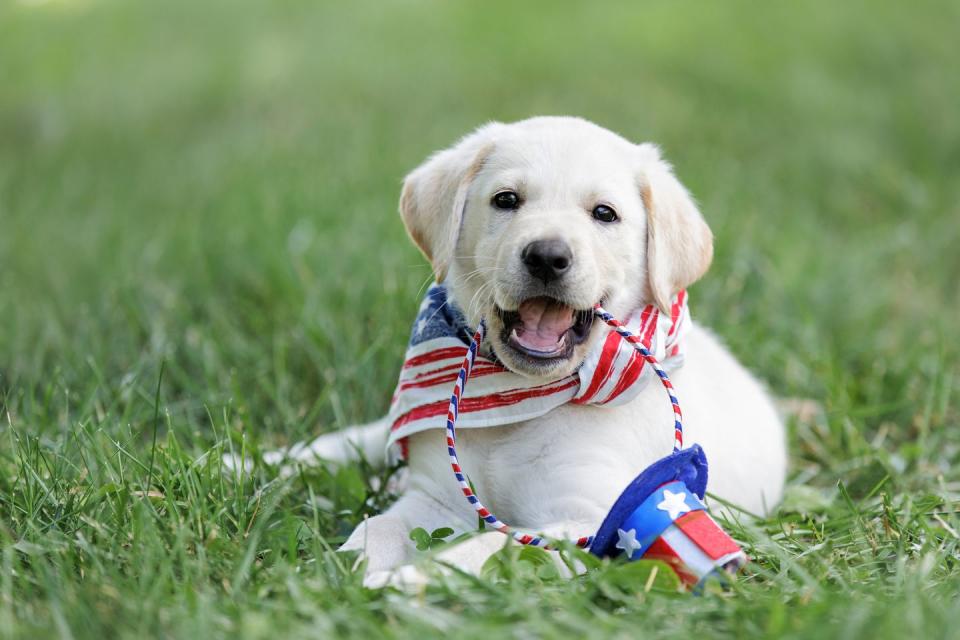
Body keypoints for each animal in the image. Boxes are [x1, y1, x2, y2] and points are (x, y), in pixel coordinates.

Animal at [260, 115, 780, 584]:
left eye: (604, 213)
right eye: (506, 200)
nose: (547, 256)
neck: (521, 395)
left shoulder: (596, 523)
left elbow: (490, 548)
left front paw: (405, 582)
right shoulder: (434, 498)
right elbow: (379, 527)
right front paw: (336, 572)